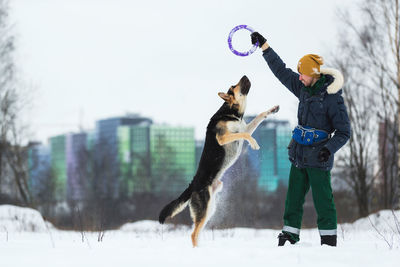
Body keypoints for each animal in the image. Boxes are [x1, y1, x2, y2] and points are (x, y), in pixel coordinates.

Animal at [158, 75, 280, 247]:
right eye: (234, 86)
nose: (245, 75)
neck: (232, 113)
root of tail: (193, 185)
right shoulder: (224, 137)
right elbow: (245, 135)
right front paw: (254, 144)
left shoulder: (245, 127)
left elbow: (258, 117)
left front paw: (273, 109)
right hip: (205, 208)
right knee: (193, 234)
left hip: (211, 206)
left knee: (197, 232)